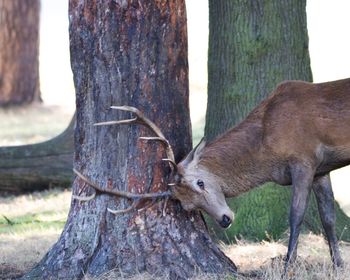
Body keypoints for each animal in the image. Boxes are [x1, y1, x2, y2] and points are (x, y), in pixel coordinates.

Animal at [74, 77, 350, 274]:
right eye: (187, 205)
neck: (267, 145)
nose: (225, 220)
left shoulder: (304, 159)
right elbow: (328, 218)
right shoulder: (321, 169)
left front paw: (287, 266)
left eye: (201, 182)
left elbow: (296, 216)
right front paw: (338, 265)